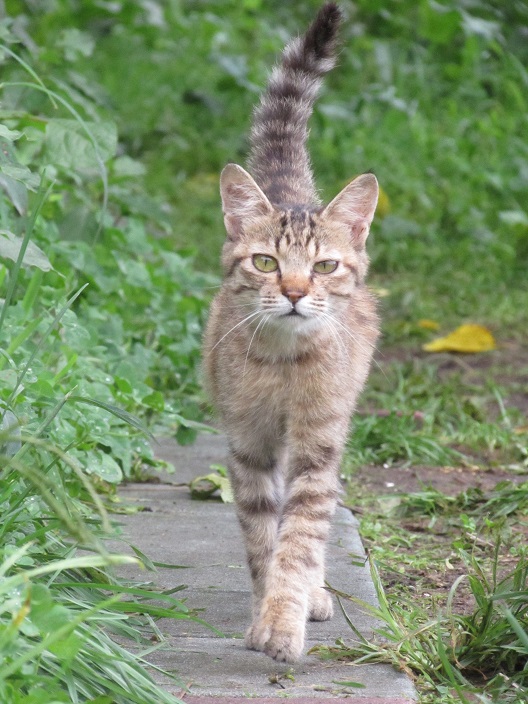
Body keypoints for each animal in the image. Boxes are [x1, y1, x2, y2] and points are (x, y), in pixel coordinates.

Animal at [202, 1, 380, 660]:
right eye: (266, 262)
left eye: (324, 266)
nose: (298, 293)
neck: (282, 365)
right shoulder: (248, 444)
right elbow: (262, 537)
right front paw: (265, 615)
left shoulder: (318, 442)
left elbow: (301, 536)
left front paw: (287, 616)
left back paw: (315, 594)